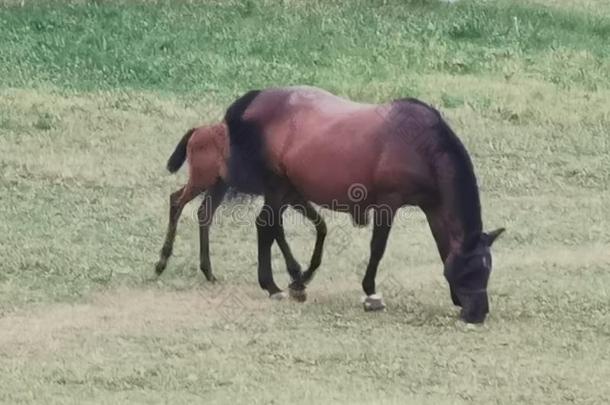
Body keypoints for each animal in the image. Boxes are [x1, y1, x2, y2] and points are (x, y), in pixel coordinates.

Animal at [223, 87, 504, 324]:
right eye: (469, 271)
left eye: (487, 270)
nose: (478, 314)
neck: (420, 145)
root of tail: (259, 97)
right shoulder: (388, 202)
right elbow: (377, 248)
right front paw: (371, 294)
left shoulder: (433, 207)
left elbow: (442, 246)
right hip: (276, 185)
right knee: (265, 226)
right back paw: (272, 286)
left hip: (286, 188)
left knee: (275, 228)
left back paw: (295, 281)